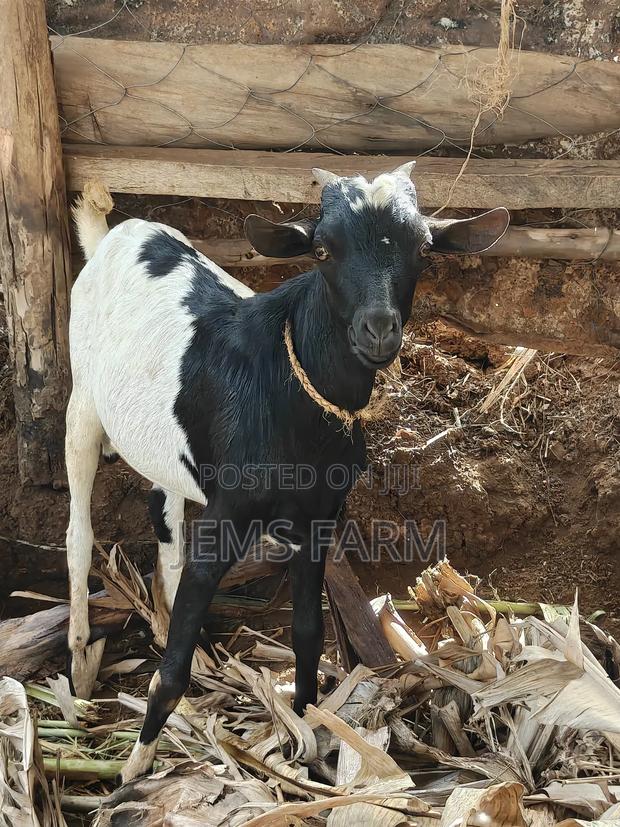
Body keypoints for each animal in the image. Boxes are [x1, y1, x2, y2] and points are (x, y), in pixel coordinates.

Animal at [66, 165, 508, 782]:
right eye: (322, 250)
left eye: (423, 248)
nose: (378, 330)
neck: (288, 388)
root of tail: (111, 235)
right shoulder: (228, 515)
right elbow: (169, 671)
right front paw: (132, 771)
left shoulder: (319, 519)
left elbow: (307, 633)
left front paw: (304, 734)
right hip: (82, 399)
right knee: (79, 532)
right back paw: (81, 662)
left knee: (165, 518)